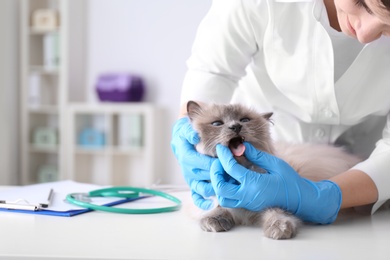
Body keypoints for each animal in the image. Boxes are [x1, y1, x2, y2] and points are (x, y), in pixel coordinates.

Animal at [186, 100, 362, 239]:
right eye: (217, 124)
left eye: (244, 120)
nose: (236, 126)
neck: (239, 179)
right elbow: (218, 208)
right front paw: (214, 221)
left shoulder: (271, 198)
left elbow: (276, 213)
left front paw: (280, 229)